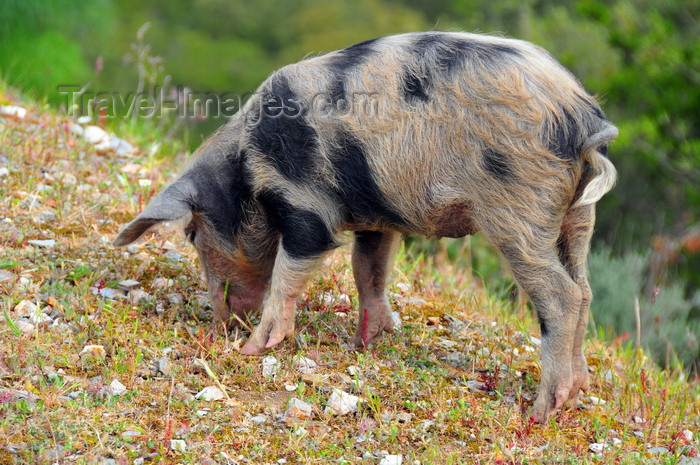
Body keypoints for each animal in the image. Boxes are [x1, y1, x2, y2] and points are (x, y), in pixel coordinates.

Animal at [113, 30, 616, 418]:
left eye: (192, 233)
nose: (219, 324)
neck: (245, 169)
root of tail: (581, 117)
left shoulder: (306, 203)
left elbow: (289, 272)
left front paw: (253, 350)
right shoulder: (377, 217)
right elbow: (367, 269)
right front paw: (364, 344)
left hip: (519, 208)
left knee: (561, 297)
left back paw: (542, 410)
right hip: (577, 217)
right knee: (585, 290)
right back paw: (580, 392)